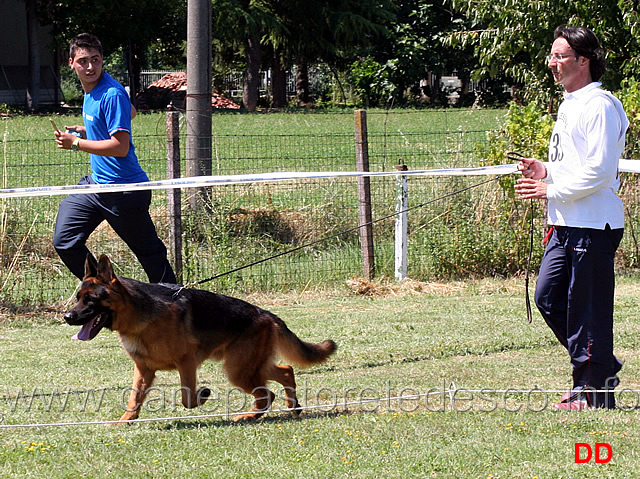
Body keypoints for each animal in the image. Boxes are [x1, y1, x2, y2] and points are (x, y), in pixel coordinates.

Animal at [62, 255, 338, 424]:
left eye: (91, 300)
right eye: (78, 298)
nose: (67, 316)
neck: (139, 317)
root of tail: (266, 314)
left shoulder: (186, 363)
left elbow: (187, 398)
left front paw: (203, 394)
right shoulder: (144, 370)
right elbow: (134, 399)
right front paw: (124, 422)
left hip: (237, 369)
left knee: (267, 394)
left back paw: (249, 417)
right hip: (247, 366)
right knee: (286, 371)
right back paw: (291, 407)